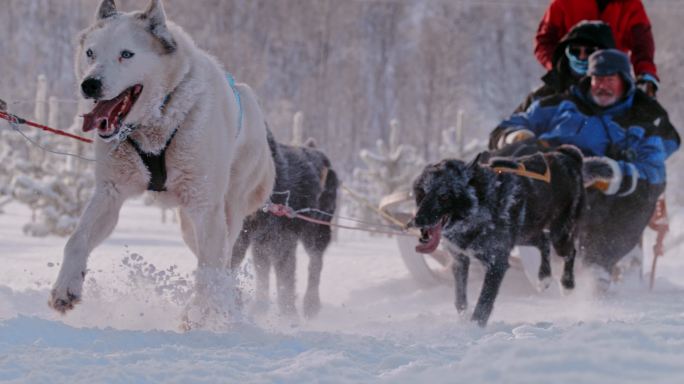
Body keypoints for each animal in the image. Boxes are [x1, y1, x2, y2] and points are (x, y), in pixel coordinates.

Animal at [48, 0, 276, 328]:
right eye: (91, 53)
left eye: (126, 54)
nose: (89, 84)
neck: (156, 121)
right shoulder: (110, 193)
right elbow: (77, 239)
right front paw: (66, 286)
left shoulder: (206, 209)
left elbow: (209, 271)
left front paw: (200, 313)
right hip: (189, 225)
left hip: (227, 211)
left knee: (222, 264)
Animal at [231, 132, 338, 318]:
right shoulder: (240, 241)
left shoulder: (283, 243)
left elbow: (285, 284)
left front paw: (289, 317)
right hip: (262, 244)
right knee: (263, 270)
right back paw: (260, 306)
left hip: (315, 232)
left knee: (315, 263)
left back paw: (311, 304)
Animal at [408, 146, 584, 326]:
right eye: (421, 193)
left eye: (444, 196)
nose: (417, 221)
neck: (480, 205)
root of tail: (565, 155)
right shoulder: (460, 260)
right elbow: (460, 299)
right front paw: (464, 319)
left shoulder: (496, 264)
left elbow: (483, 304)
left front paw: (474, 327)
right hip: (525, 235)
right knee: (544, 241)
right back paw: (544, 278)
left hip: (559, 235)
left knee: (570, 251)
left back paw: (567, 284)